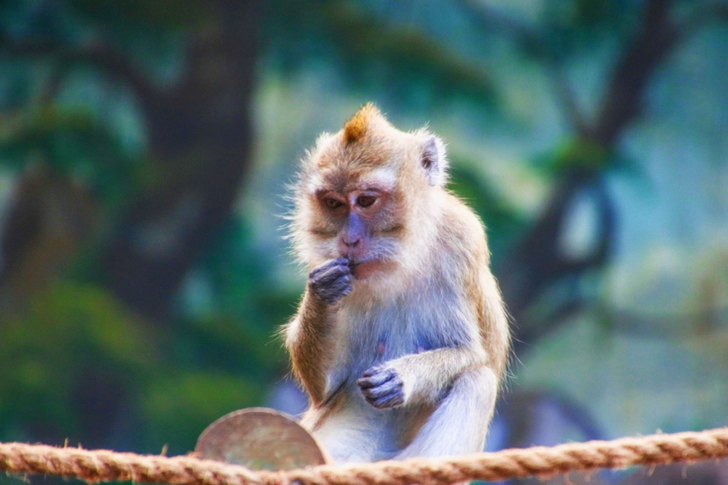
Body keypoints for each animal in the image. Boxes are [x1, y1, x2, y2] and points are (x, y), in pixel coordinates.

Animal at [283, 103, 510, 463]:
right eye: (333, 203)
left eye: (366, 200)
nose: (349, 240)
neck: (399, 263)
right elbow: (327, 388)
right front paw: (322, 291)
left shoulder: (461, 241)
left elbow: (469, 352)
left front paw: (401, 378)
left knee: (477, 380)